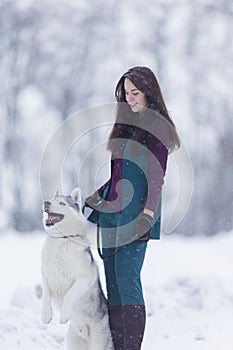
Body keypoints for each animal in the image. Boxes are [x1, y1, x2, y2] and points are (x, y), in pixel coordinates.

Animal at [40, 189, 113, 350]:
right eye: (52, 200)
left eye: (62, 203)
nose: (46, 203)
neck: (63, 239)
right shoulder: (45, 275)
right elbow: (45, 295)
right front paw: (46, 315)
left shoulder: (86, 277)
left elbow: (69, 295)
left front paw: (64, 316)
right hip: (73, 342)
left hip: (98, 343)